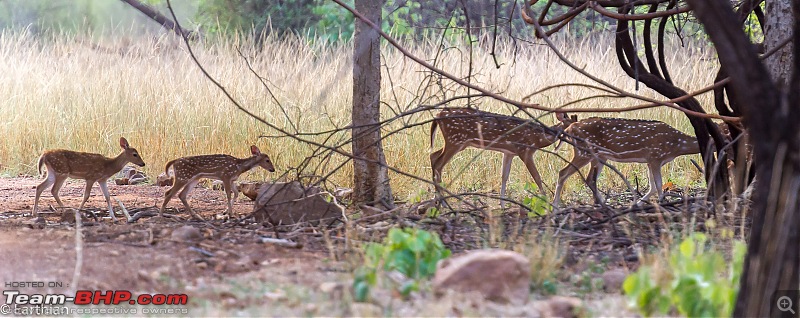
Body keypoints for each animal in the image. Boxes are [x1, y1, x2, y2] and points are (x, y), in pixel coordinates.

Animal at [432, 107, 576, 201]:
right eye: (571, 126)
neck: (538, 138)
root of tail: (437, 115)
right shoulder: (524, 150)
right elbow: (537, 177)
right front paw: (546, 202)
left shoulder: (509, 153)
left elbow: (504, 177)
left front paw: (502, 205)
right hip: (455, 140)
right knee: (438, 163)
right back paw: (441, 201)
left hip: (455, 142)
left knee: (433, 155)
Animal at [552, 117, 700, 206]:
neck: (677, 145)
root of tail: (569, 127)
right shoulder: (656, 156)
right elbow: (658, 186)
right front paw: (662, 203)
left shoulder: (650, 161)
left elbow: (652, 186)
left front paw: (637, 205)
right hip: (584, 152)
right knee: (563, 173)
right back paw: (555, 206)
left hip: (599, 156)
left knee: (590, 179)